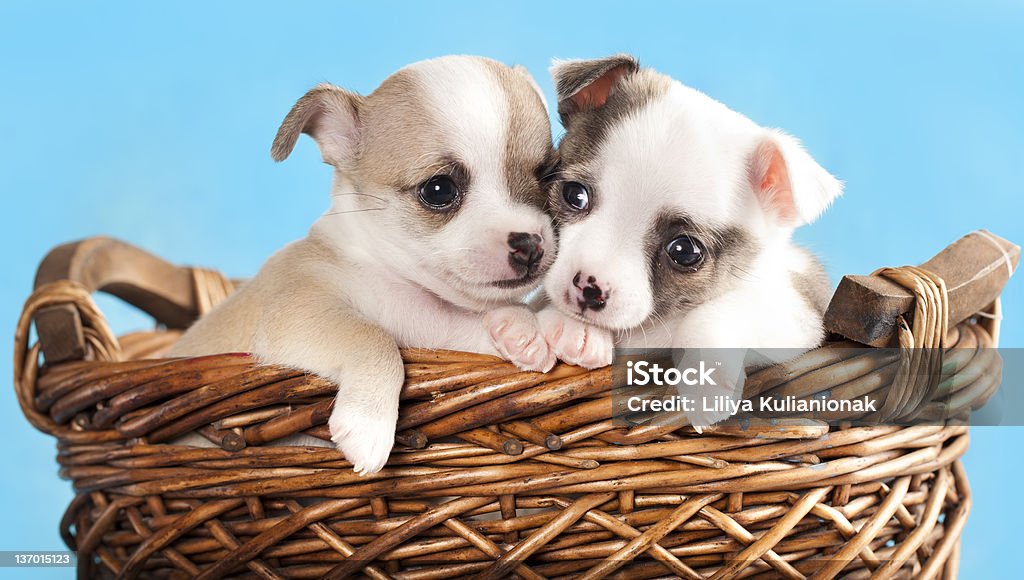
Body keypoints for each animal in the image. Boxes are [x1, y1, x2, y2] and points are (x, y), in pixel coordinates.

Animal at [167, 56, 557, 477]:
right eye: (438, 190)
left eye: (546, 177)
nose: (529, 244)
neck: (404, 286)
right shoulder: (300, 313)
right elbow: (374, 337)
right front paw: (369, 423)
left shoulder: (436, 333)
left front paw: (520, 331)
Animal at [536, 54, 839, 428]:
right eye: (574, 195)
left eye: (684, 250)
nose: (588, 288)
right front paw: (569, 325)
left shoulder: (799, 311)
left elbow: (717, 311)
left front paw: (705, 377)